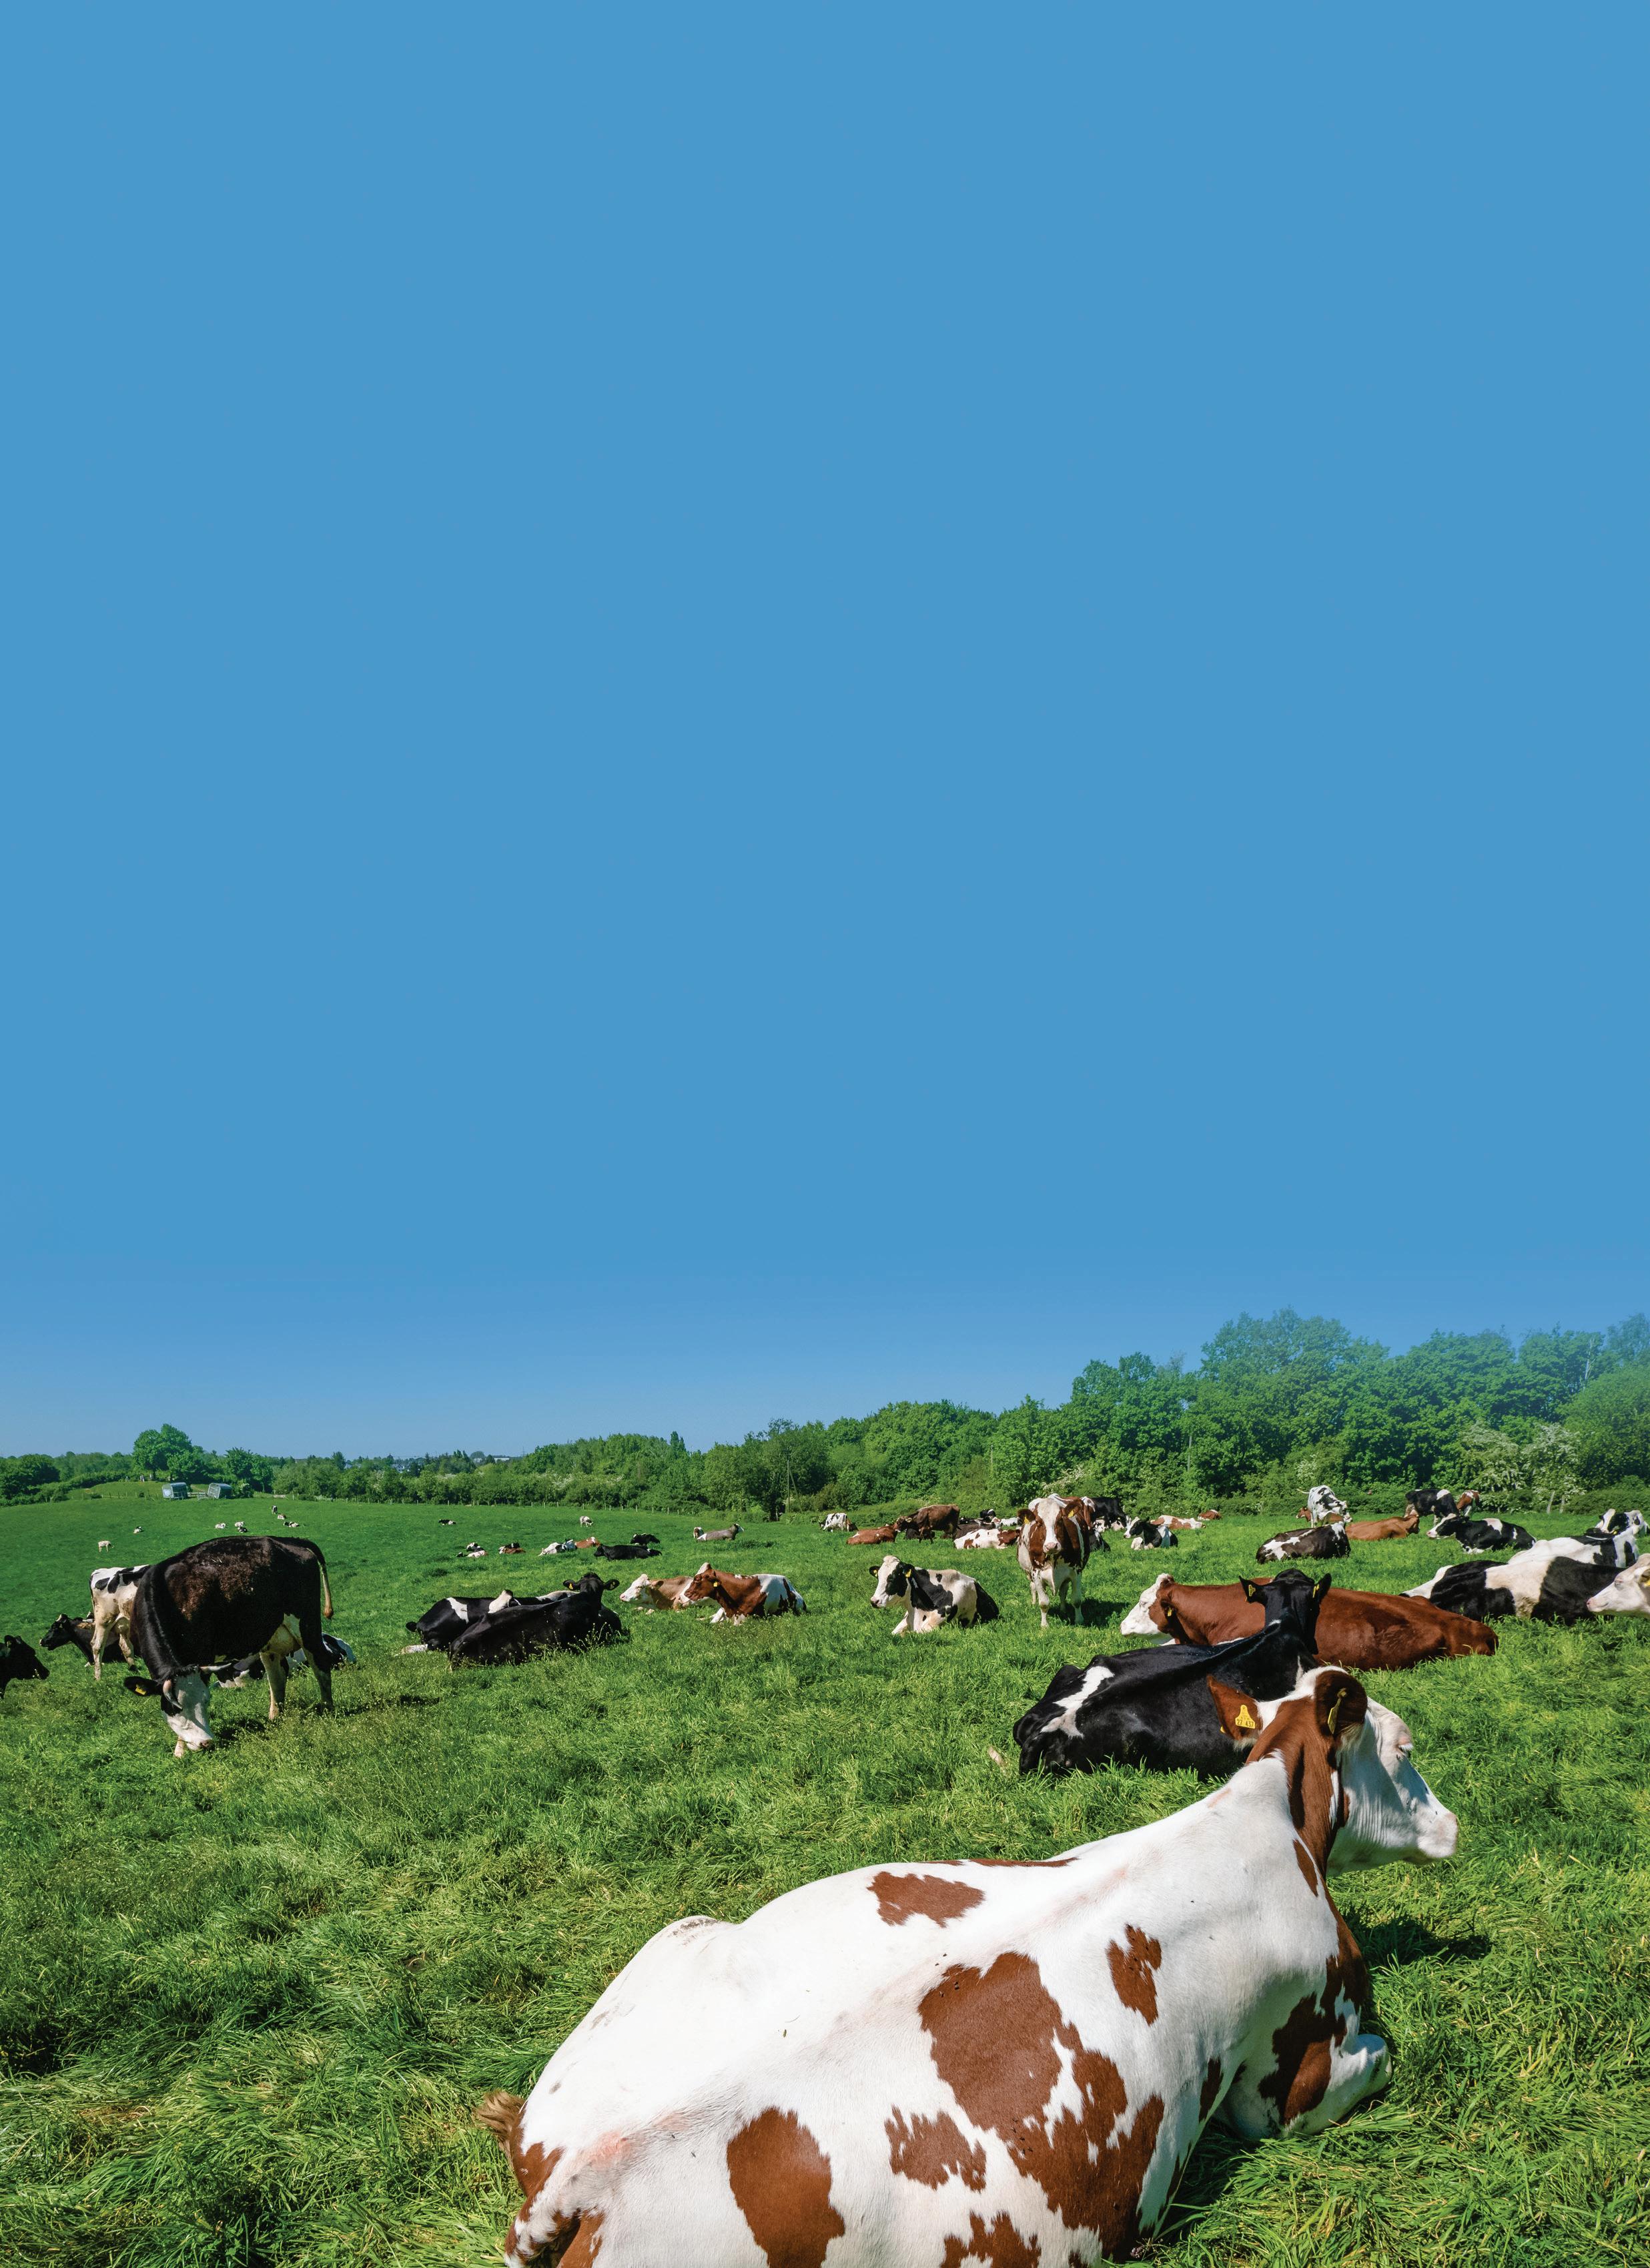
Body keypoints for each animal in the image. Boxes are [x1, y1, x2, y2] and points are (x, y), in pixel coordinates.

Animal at [87, 1564, 147, 1680]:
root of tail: (98, 1571)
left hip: (125, 1621)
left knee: (125, 1645)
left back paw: (135, 1671)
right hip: (104, 1620)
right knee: (97, 1645)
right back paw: (99, 1678)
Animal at [121, 1535, 335, 1755]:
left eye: (206, 1700)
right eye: (175, 1708)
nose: (206, 1743)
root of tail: (289, 1541)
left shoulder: (203, 1656)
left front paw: (181, 1750)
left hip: (307, 1625)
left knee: (320, 1663)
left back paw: (327, 1709)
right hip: (271, 1637)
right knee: (277, 1676)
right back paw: (275, 1718)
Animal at [477, 1663, 1457, 2268]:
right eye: (1405, 1745)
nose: (1455, 1825)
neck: (1266, 1815)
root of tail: (583, 2173)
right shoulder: (1290, 2076)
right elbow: (1376, 2059)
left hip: (671, 1937)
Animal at [1018, 1496, 1094, 1628]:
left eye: (1060, 1520)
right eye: (1038, 1522)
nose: (1051, 1546)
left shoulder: (1076, 1571)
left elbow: (1076, 1600)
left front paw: (1079, 1620)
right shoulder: (1036, 1573)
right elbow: (1044, 1603)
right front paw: (1044, 1625)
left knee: (1063, 1592)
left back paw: (1063, 1610)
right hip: (1029, 1573)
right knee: (1032, 1587)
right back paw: (1033, 1603)